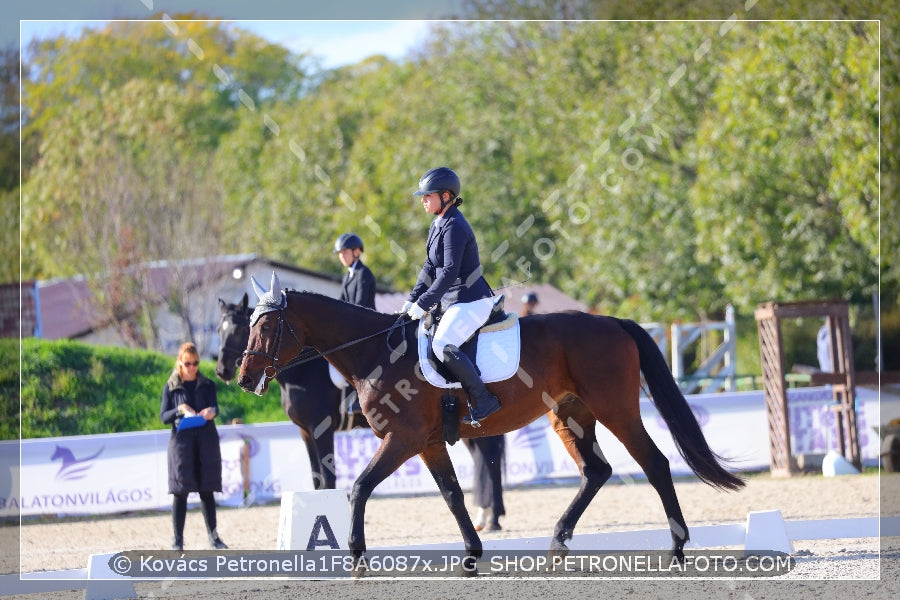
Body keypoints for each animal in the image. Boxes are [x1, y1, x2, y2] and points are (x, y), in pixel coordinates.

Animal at [236, 276, 740, 568]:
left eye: (266, 327)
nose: (241, 378)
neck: (375, 352)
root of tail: (613, 322)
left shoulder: (402, 438)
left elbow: (359, 487)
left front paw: (357, 555)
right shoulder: (427, 443)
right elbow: (453, 495)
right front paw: (472, 554)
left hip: (615, 409)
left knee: (654, 464)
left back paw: (676, 550)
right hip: (570, 415)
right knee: (596, 471)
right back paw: (557, 544)